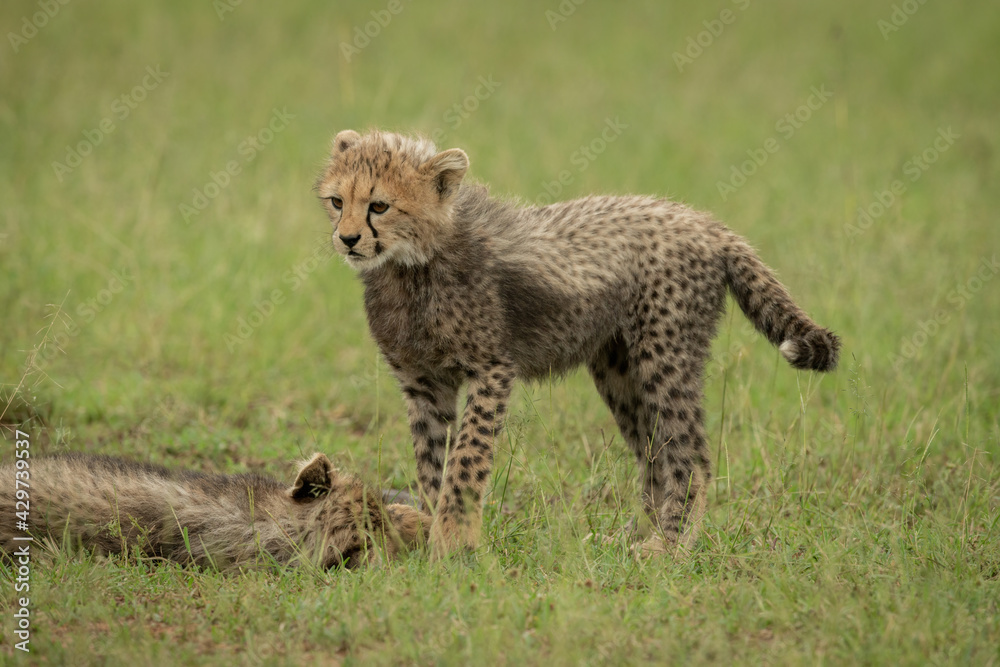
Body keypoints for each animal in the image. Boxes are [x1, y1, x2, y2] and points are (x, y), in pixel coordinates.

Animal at [315, 129, 840, 558]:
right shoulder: (424, 382)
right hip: (618, 369)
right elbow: (431, 464)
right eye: (338, 201)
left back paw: (668, 546)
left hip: (665, 356)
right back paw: (632, 538)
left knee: (691, 456)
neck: (412, 264)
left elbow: (466, 459)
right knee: (653, 457)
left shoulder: (491, 370)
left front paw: (454, 540)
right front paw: (428, 530)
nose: (348, 239)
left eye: (379, 205)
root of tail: (701, 220)